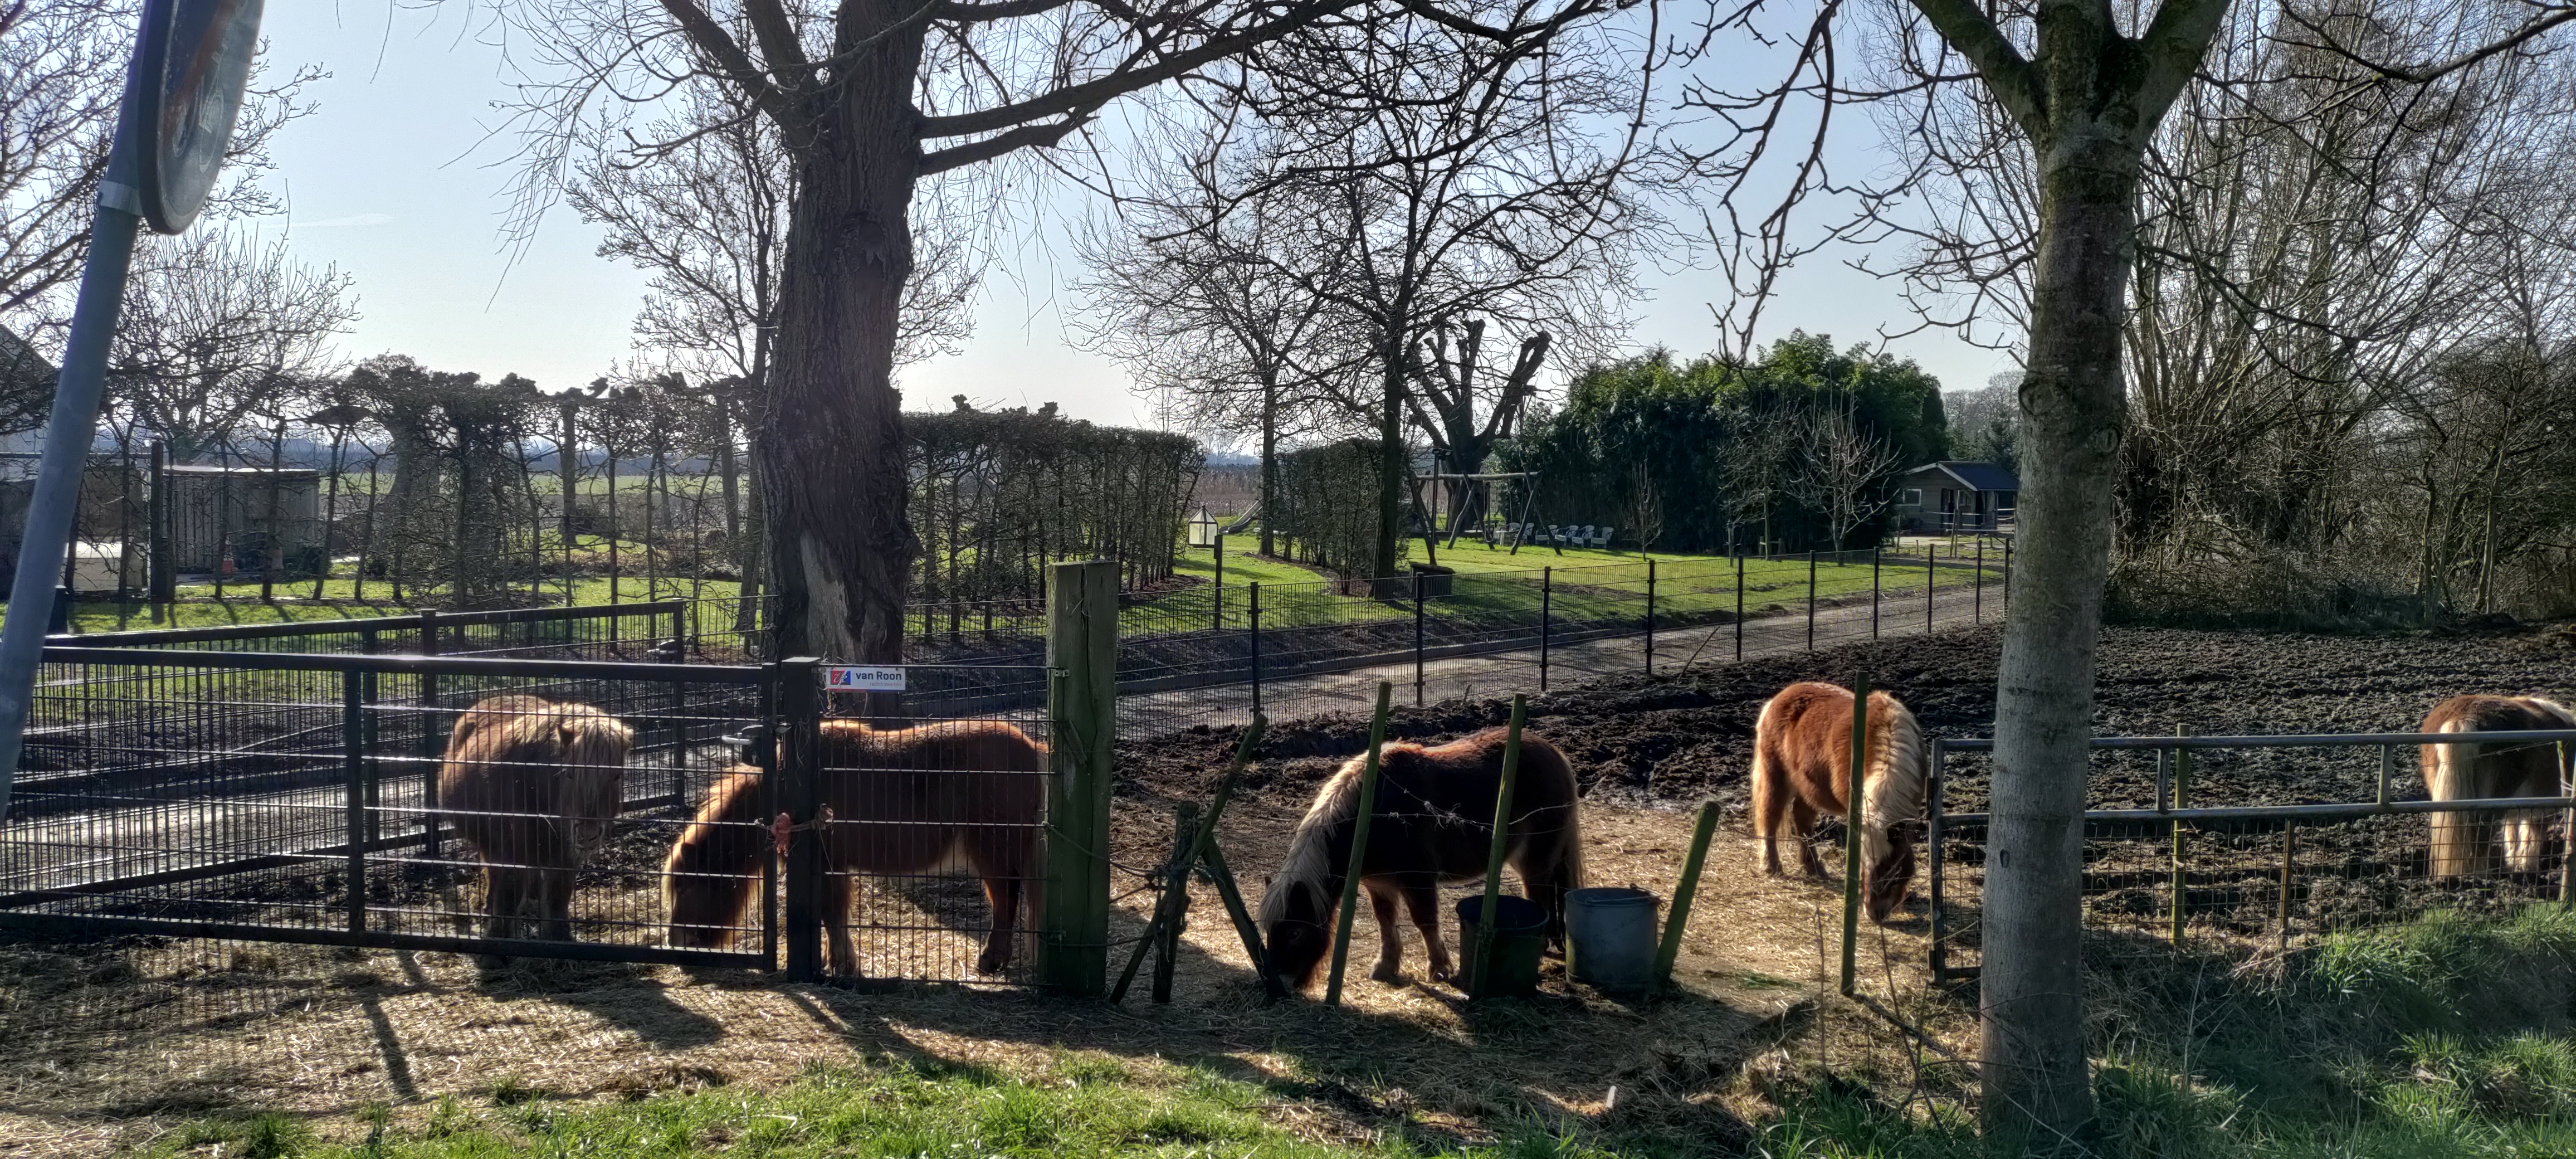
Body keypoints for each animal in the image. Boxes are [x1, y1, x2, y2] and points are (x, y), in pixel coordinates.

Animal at [435, 695, 635, 953]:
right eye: (568, 774)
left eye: (617, 776)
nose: (587, 834)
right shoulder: (512, 853)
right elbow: (508, 897)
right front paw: (497, 945)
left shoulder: (564, 855)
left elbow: (558, 895)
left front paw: (560, 937)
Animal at [662, 719, 1047, 976]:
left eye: (686, 886)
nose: (676, 941)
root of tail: (1034, 751)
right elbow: (831, 915)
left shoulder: (827, 862)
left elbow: (831, 913)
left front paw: (841, 964)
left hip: (993, 850)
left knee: (1005, 899)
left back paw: (991, 960)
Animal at [1259, 727, 1585, 991]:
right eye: (1269, 930)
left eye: (1295, 932)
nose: (1280, 981)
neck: (1373, 813)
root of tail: (1553, 752)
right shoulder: (1378, 885)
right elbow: (1385, 922)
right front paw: (1386, 967)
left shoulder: (1419, 880)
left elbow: (1425, 921)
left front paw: (1439, 969)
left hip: (1536, 859)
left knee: (1539, 897)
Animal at [1750, 681, 1928, 923]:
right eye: (1865, 866)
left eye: (1895, 870)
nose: (1875, 914)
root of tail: (1779, 698)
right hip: (1775, 775)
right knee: (1770, 816)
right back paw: (1771, 866)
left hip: (1809, 787)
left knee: (1802, 821)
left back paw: (1815, 868)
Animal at [2423, 695, 2576, 878]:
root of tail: (2463, 718)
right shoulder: (2542, 806)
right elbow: (2532, 835)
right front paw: (2526, 867)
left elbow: (2512, 833)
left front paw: (2514, 864)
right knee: (2480, 840)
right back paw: (2479, 876)